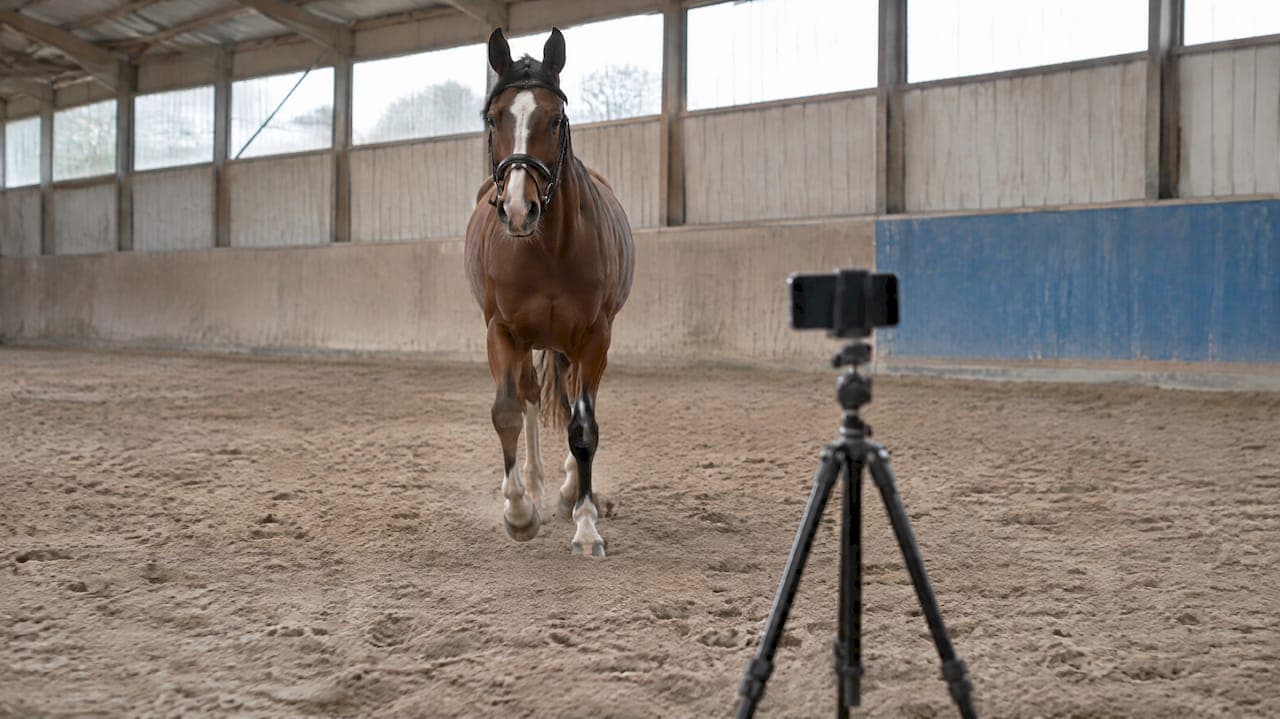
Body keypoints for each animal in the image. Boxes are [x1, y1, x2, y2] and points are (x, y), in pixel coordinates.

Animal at [464, 27, 635, 558]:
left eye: (555, 118)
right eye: (493, 117)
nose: (519, 210)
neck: (548, 248)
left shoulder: (596, 336)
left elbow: (583, 428)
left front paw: (585, 523)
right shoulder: (501, 331)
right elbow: (506, 412)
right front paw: (519, 513)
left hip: (572, 344)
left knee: (572, 395)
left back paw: (568, 489)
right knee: (531, 397)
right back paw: (536, 484)